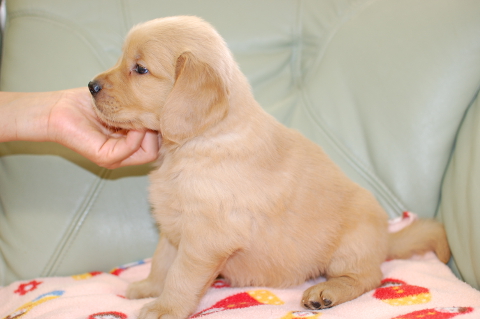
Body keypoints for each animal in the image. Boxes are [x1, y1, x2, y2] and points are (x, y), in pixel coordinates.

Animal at [88, 16, 452, 319]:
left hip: (350, 244)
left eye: (140, 69)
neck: (199, 142)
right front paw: (149, 288)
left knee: (369, 277)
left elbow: (180, 275)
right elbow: (163, 261)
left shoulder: (205, 238)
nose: (91, 86)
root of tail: (385, 240)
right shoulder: (172, 225)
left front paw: (165, 308)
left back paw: (326, 291)